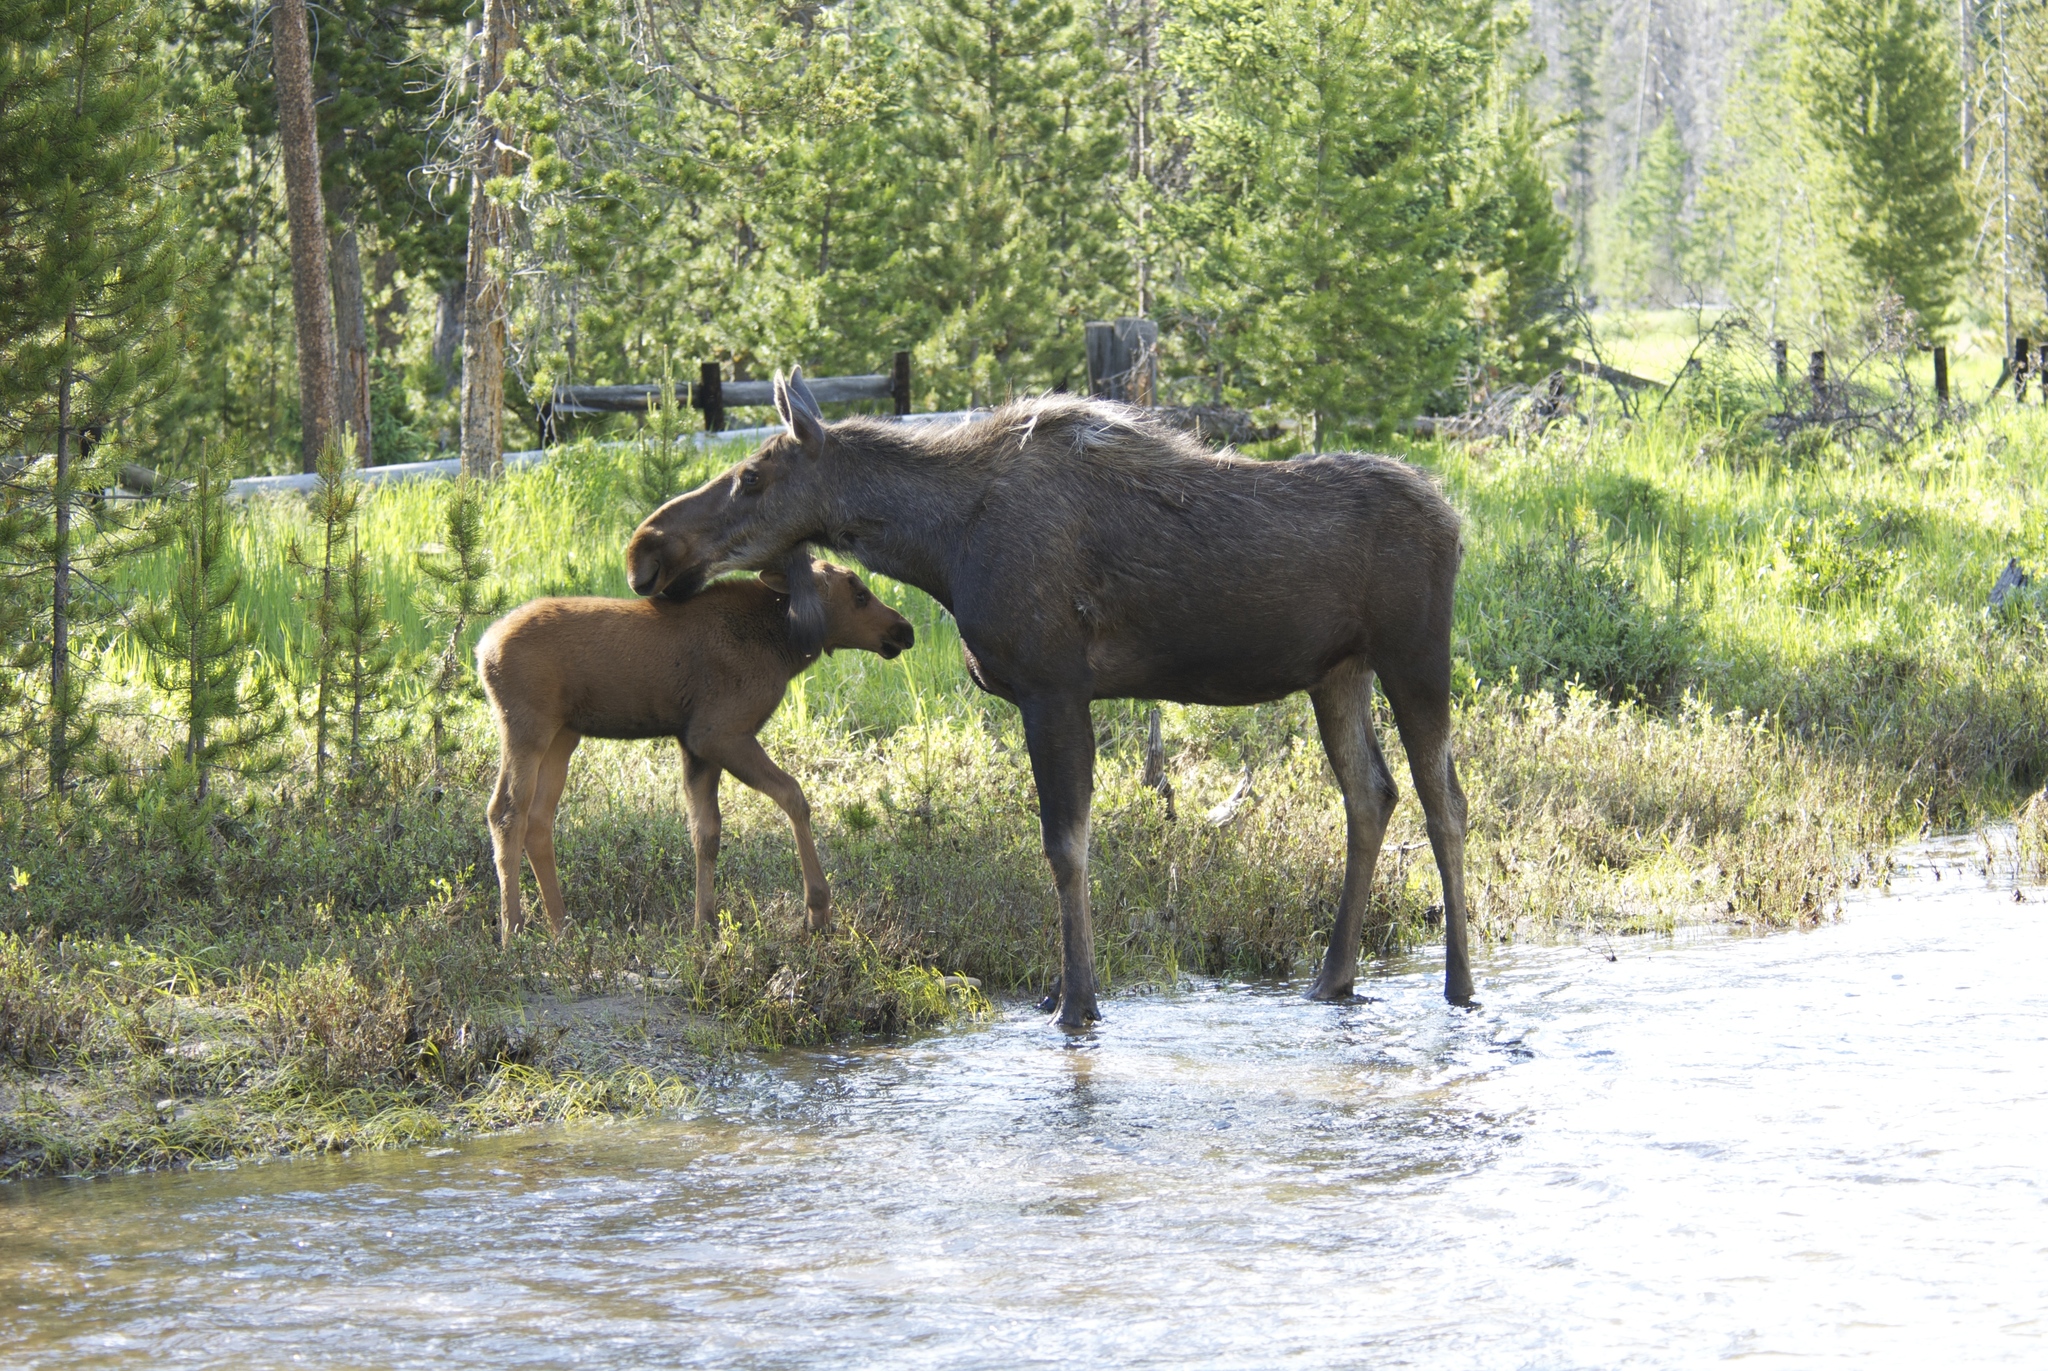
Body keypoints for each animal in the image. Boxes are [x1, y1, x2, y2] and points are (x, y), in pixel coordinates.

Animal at [476, 554, 915, 946]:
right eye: (858, 593)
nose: (904, 629)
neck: (783, 645)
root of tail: (482, 648)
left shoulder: (695, 746)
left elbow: (706, 831)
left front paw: (705, 924)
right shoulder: (718, 732)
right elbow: (794, 795)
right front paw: (818, 910)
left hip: (563, 735)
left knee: (538, 819)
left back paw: (561, 928)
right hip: (527, 726)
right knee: (506, 811)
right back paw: (513, 932)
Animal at [626, 368, 1472, 1029]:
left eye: (752, 477)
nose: (646, 546)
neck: (941, 546)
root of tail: (1457, 519)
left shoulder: (1053, 684)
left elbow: (1065, 845)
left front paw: (1078, 1001)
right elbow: (1065, 843)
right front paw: (1063, 991)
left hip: (1416, 652)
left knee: (1444, 801)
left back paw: (1459, 984)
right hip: (1337, 670)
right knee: (1372, 793)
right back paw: (1333, 976)